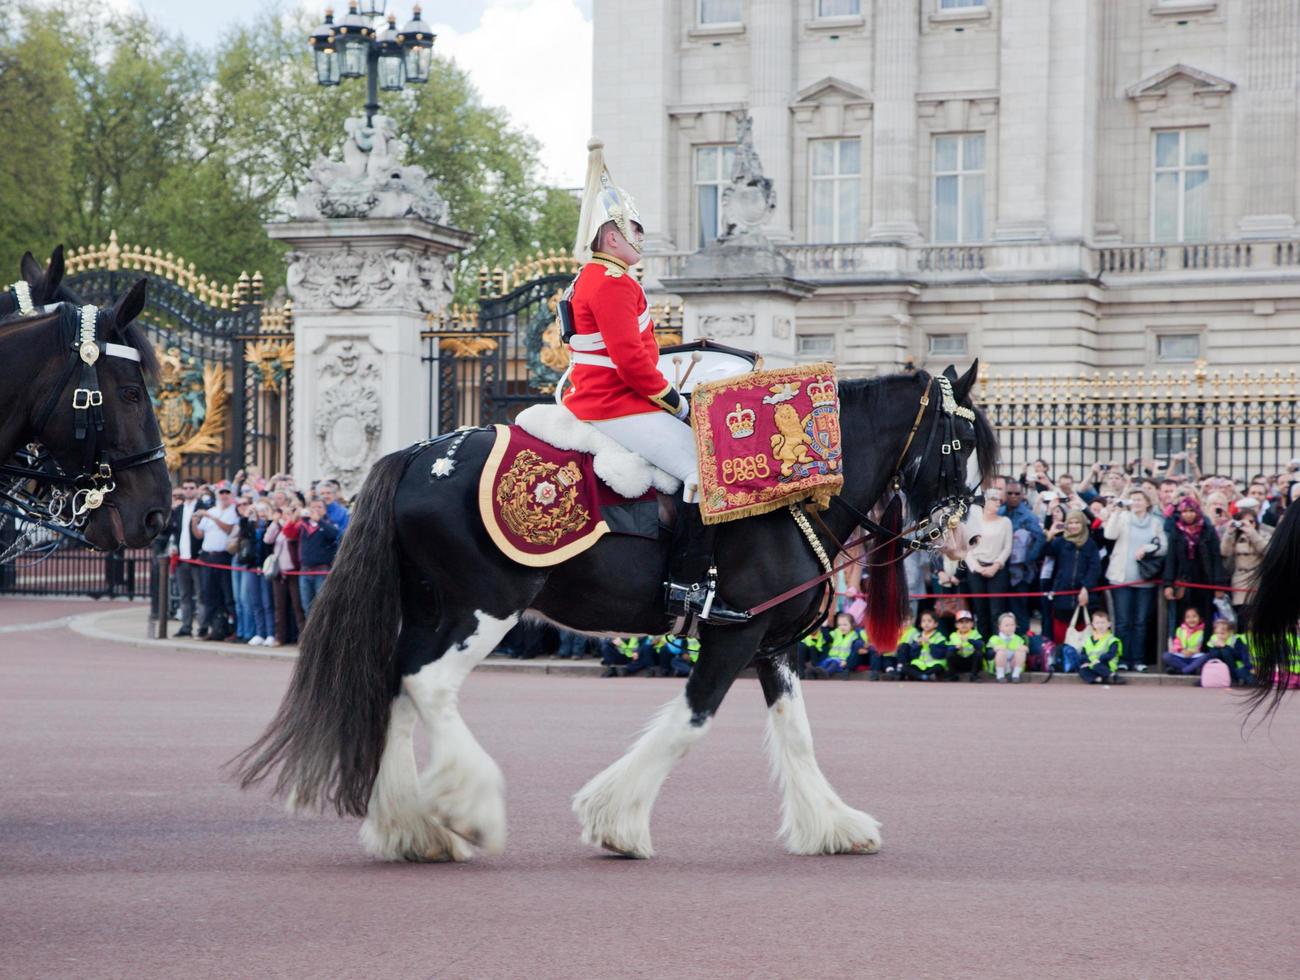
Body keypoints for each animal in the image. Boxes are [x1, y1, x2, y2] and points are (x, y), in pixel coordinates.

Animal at [236, 361, 993, 852]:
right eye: (958, 444)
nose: (969, 540)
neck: (789, 494)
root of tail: (420, 452)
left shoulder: (773, 643)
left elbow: (797, 735)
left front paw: (833, 826)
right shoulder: (732, 637)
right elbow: (689, 723)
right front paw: (616, 821)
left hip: (434, 609)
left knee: (395, 685)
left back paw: (410, 829)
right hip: (483, 608)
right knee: (427, 685)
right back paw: (469, 810)